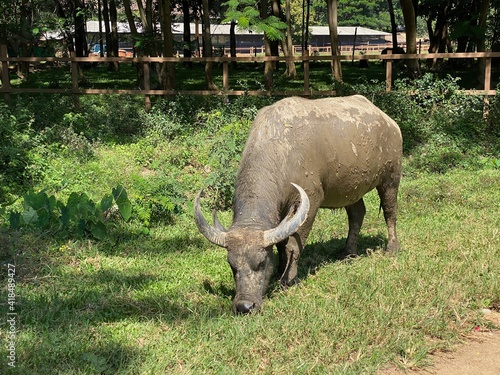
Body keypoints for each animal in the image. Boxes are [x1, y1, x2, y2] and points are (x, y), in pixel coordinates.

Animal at [193, 94, 400, 314]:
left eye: (261, 262)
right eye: (232, 265)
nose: (245, 306)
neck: (279, 150)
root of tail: (389, 122)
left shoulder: (311, 200)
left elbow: (292, 245)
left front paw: (288, 279)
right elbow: (281, 244)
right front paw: (280, 271)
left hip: (391, 177)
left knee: (390, 211)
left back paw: (392, 248)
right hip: (351, 189)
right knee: (357, 214)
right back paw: (348, 252)